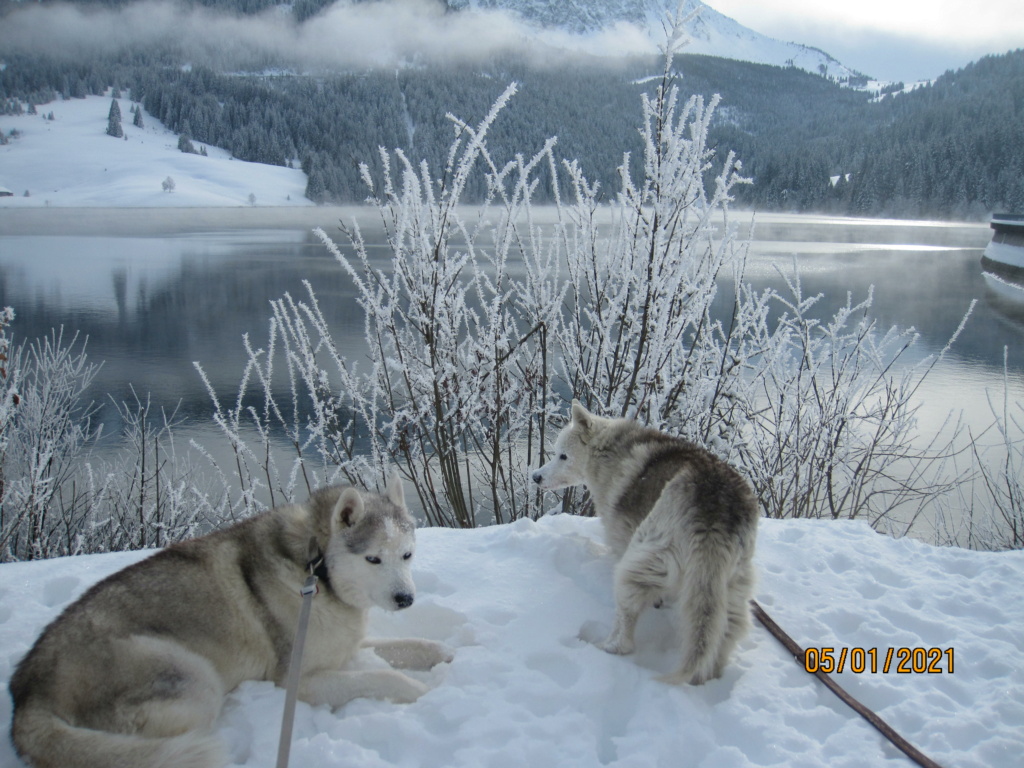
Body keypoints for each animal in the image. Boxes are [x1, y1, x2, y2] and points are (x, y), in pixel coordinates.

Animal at [7, 475, 448, 768]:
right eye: (373, 559)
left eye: (406, 555)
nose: (406, 599)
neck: (316, 570)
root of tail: (27, 695)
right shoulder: (296, 680)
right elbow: (385, 676)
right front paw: (420, 691)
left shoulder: (343, 648)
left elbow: (408, 648)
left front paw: (442, 654)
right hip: (193, 677)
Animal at [532, 403, 757, 684]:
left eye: (562, 456)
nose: (536, 476)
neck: (612, 453)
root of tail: (714, 503)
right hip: (731, 587)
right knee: (725, 633)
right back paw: (707, 677)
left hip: (637, 561)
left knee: (625, 628)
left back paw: (605, 648)